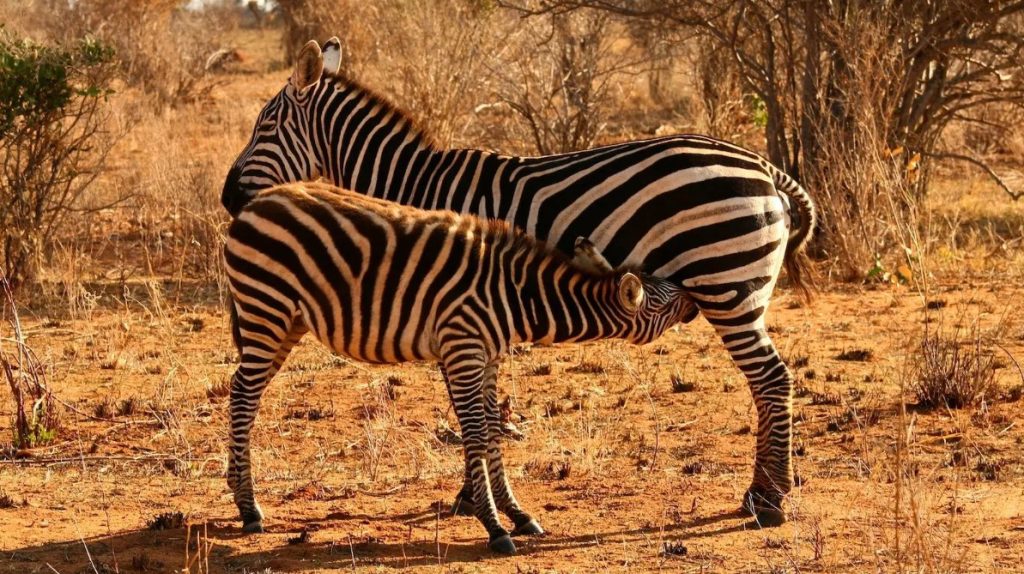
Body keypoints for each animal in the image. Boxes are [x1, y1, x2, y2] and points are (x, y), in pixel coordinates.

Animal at [224, 181, 694, 554]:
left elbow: (493, 431)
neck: (519, 297)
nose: (694, 297)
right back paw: (249, 508)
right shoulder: (464, 348)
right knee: (244, 395)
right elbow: (476, 434)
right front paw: (494, 527)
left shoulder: (488, 356)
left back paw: (237, 489)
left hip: (287, 320)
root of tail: (257, 202)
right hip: (266, 308)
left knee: (243, 390)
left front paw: (517, 514)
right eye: (667, 300)